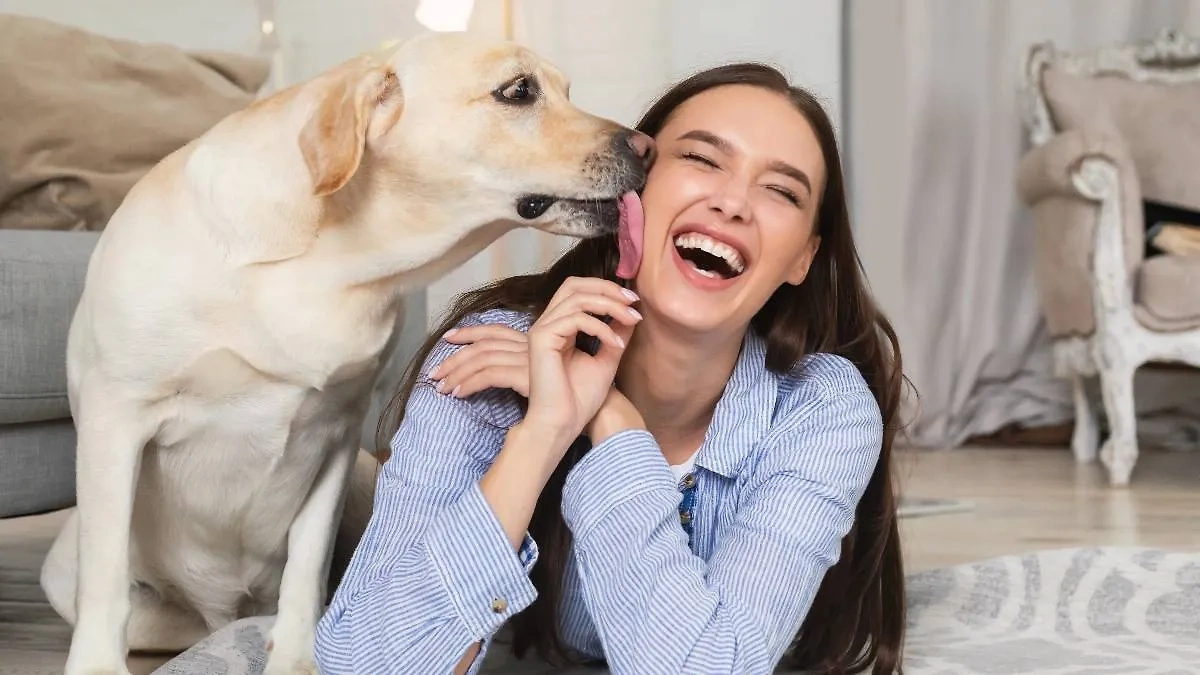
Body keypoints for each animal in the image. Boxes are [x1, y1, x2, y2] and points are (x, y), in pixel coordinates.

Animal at [39, 28, 648, 667]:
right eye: (518, 91)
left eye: (565, 91)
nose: (648, 147)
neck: (332, 262)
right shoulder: (116, 416)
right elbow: (106, 579)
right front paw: (96, 665)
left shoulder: (336, 428)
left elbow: (307, 566)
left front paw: (295, 657)